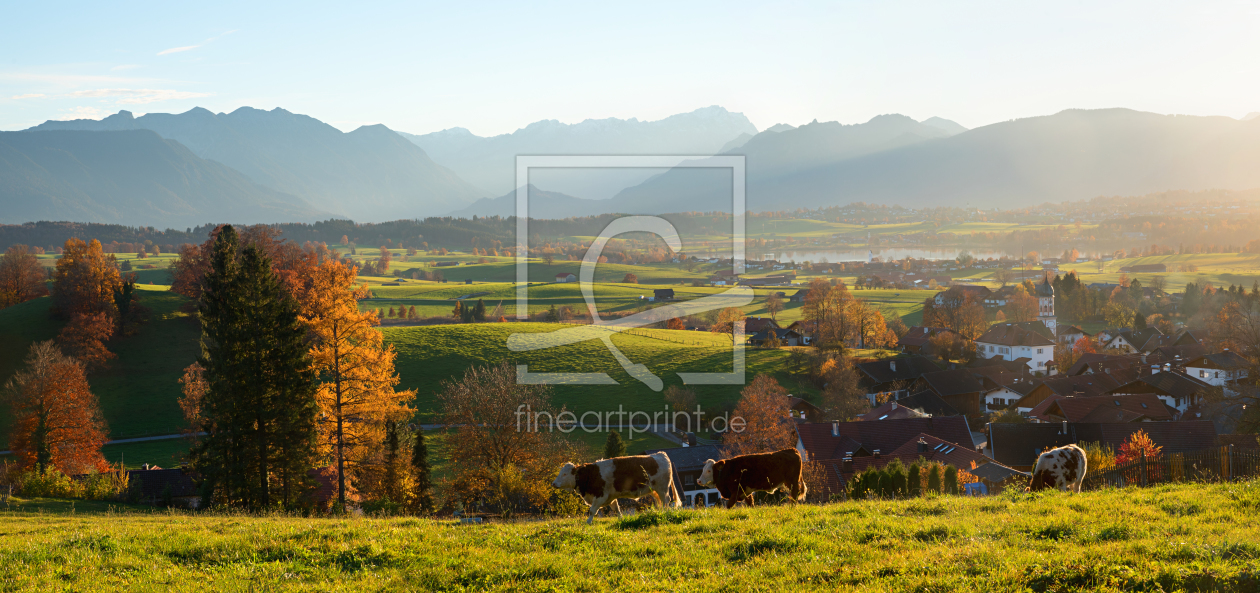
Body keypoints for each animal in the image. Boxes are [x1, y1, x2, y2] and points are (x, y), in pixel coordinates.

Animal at [551, 455, 680, 523]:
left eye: (564, 474)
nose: (553, 483)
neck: (591, 474)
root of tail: (660, 454)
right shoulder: (610, 497)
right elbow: (616, 509)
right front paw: (621, 518)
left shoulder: (600, 496)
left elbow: (592, 511)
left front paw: (587, 522)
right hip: (654, 490)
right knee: (660, 501)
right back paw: (660, 511)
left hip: (662, 488)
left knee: (666, 500)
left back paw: (666, 512)